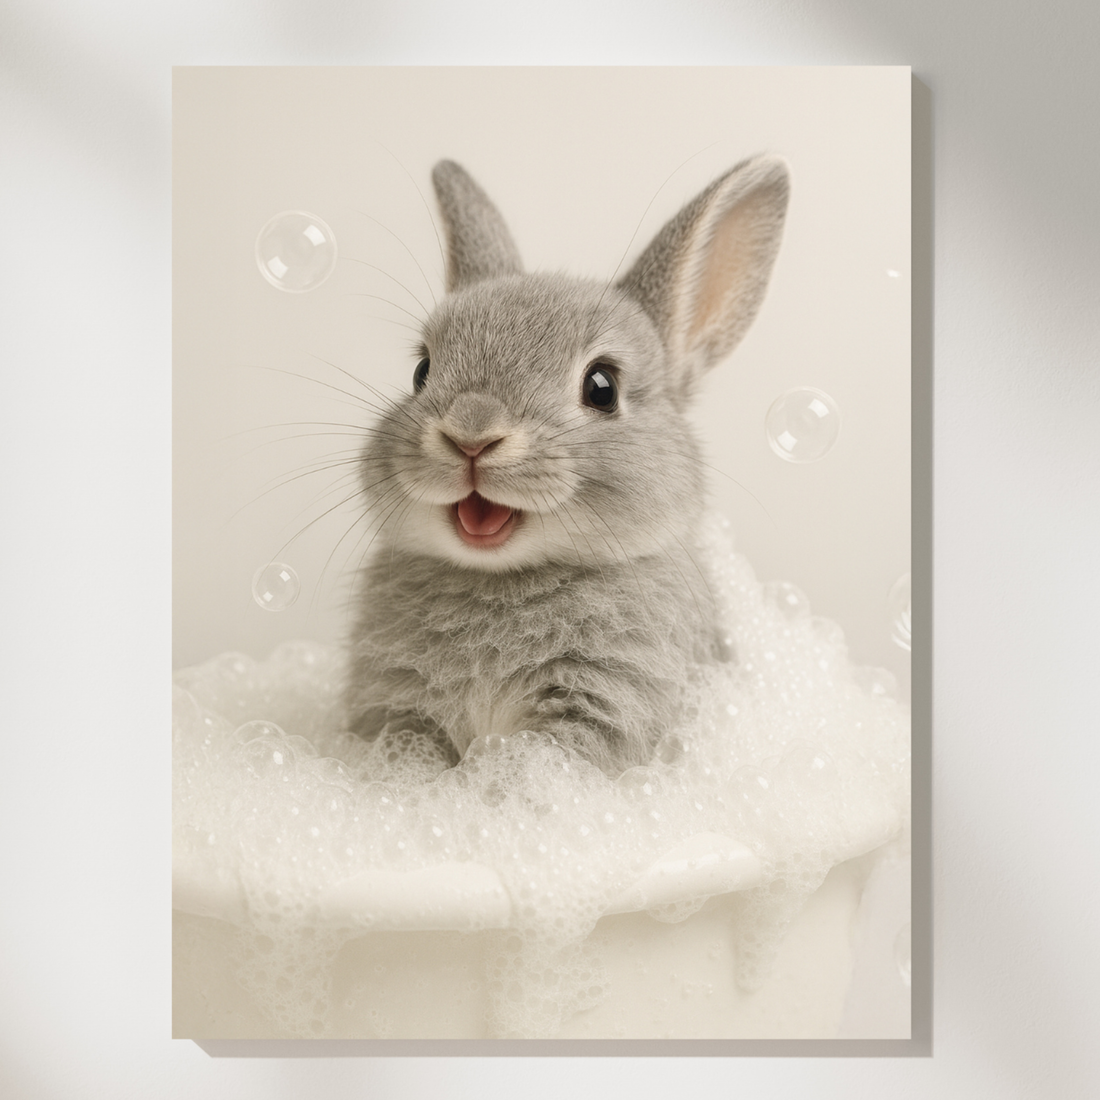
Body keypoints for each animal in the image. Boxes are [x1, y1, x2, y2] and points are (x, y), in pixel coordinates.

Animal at [343, 155, 790, 777]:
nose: (471, 435)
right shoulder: (398, 712)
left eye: (602, 387)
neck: (500, 578)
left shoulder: (600, 708)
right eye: (422, 372)